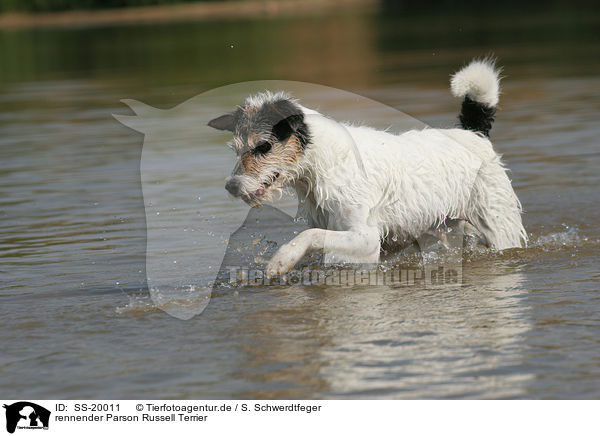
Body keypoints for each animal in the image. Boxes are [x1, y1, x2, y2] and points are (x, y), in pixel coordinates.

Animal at [209, 58, 528, 276]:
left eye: (263, 147)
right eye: (236, 150)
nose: (231, 187)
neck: (321, 162)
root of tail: (474, 134)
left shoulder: (365, 238)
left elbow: (309, 236)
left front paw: (281, 260)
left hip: (498, 227)